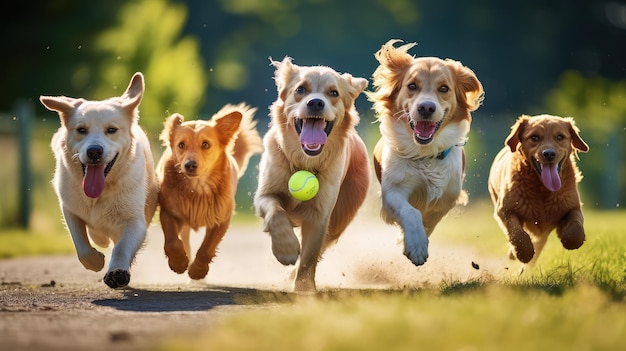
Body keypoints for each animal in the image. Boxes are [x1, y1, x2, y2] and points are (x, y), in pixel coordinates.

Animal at [39, 73, 157, 290]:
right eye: (81, 130)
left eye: (111, 129)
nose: (94, 151)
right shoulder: (69, 208)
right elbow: (82, 246)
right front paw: (95, 261)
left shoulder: (136, 222)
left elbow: (121, 248)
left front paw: (117, 272)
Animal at [158, 103, 264, 280]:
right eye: (181, 145)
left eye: (206, 144)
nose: (190, 165)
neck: (197, 188)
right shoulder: (169, 212)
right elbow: (172, 242)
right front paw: (178, 263)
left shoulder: (221, 219)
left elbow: (207, 248)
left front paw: (197, 270)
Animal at [254, 57, 370, 292]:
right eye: (300, 89)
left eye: (333, 93)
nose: (315, 103)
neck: (304, 161)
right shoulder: (264, 194)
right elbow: (276, 212)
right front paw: (286, 248)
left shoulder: (320, 216)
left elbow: (309, 258)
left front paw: (304, 289)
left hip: (339, 220)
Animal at [366, 40, 482, 266]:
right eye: (412, 86)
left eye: (444, 88)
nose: (426, 107)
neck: (425, 153)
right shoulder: (392, 190)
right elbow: (411, 212)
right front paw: (416, 246)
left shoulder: (448, 196)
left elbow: (429, 219)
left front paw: (409, 243)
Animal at [490, 115, 588, 264]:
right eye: (534, 137)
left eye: (560, 137)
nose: (549, 154)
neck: (543, 189)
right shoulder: (505, 210)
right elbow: (517, 232)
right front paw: (523, 253)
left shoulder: (572, 206)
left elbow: (576, 226)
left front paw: (571, 240)